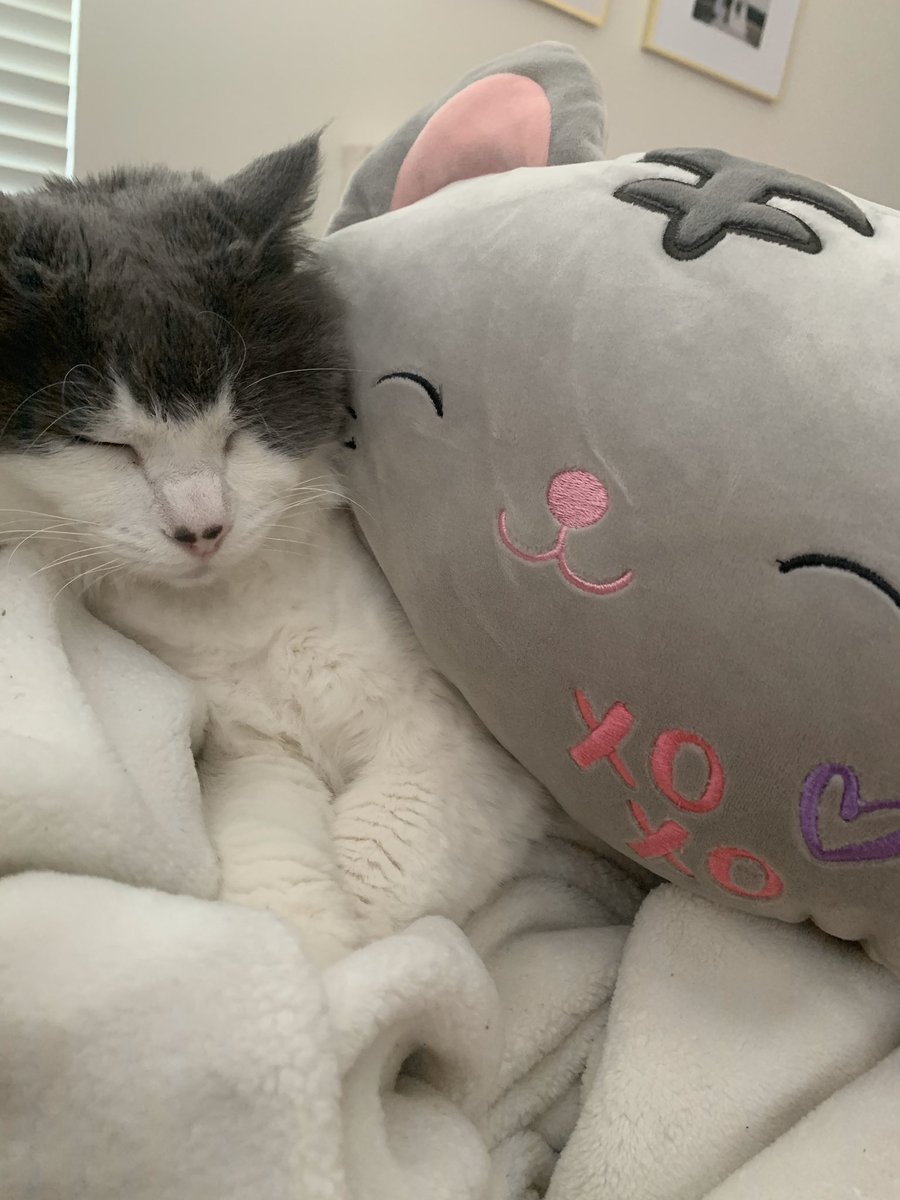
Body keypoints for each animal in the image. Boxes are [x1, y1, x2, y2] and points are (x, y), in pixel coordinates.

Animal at [0, 135, 548, 964]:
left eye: (241, 421)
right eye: (102, 442)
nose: (203, 528)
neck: (247, 613)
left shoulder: (458, 734)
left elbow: (384, 845)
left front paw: (365, 975)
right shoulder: (253, 751)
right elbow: (273, 844)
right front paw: (302, 958)